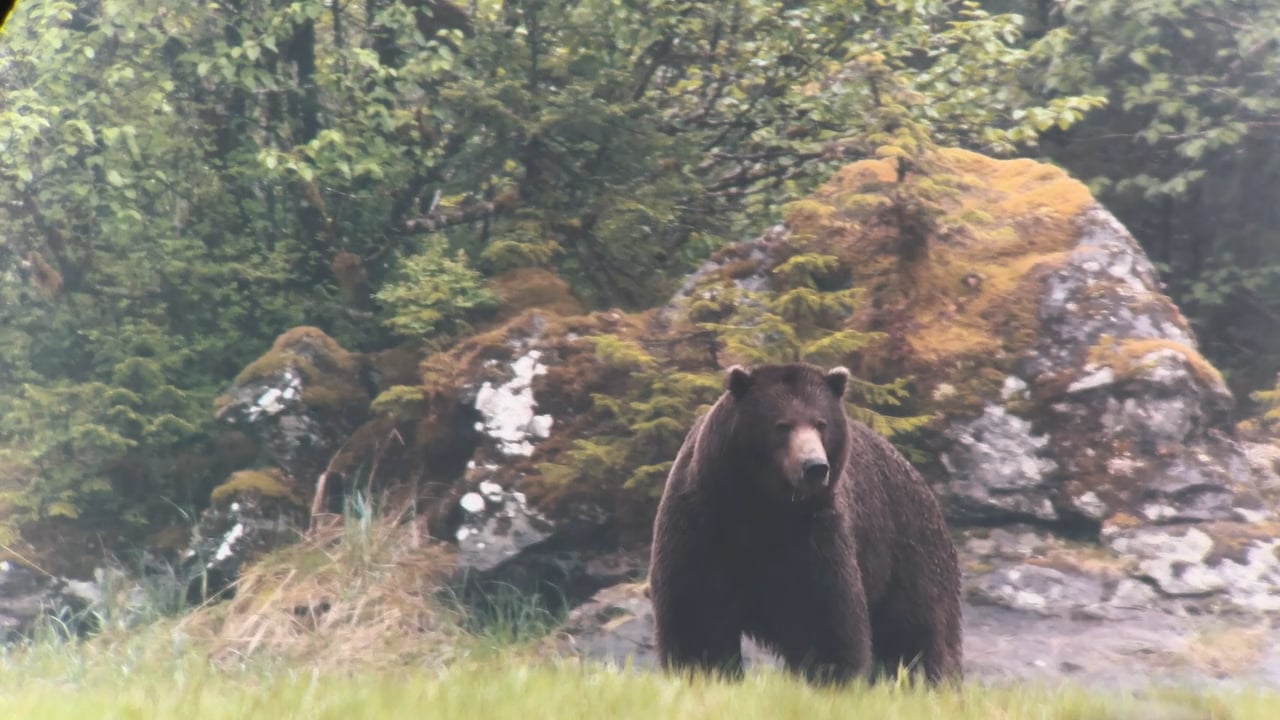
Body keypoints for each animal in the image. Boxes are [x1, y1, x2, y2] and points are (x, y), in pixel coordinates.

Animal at [650, 361, 962, 681]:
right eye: (782, 425)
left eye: (821, 423)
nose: (814, 466)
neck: (760, 506)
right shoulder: (704, 518)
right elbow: (699, 610)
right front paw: (703, 668)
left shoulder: (813, 531)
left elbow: (822, 613)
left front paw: (831, 674)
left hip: (908, 556)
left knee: (916, 634)